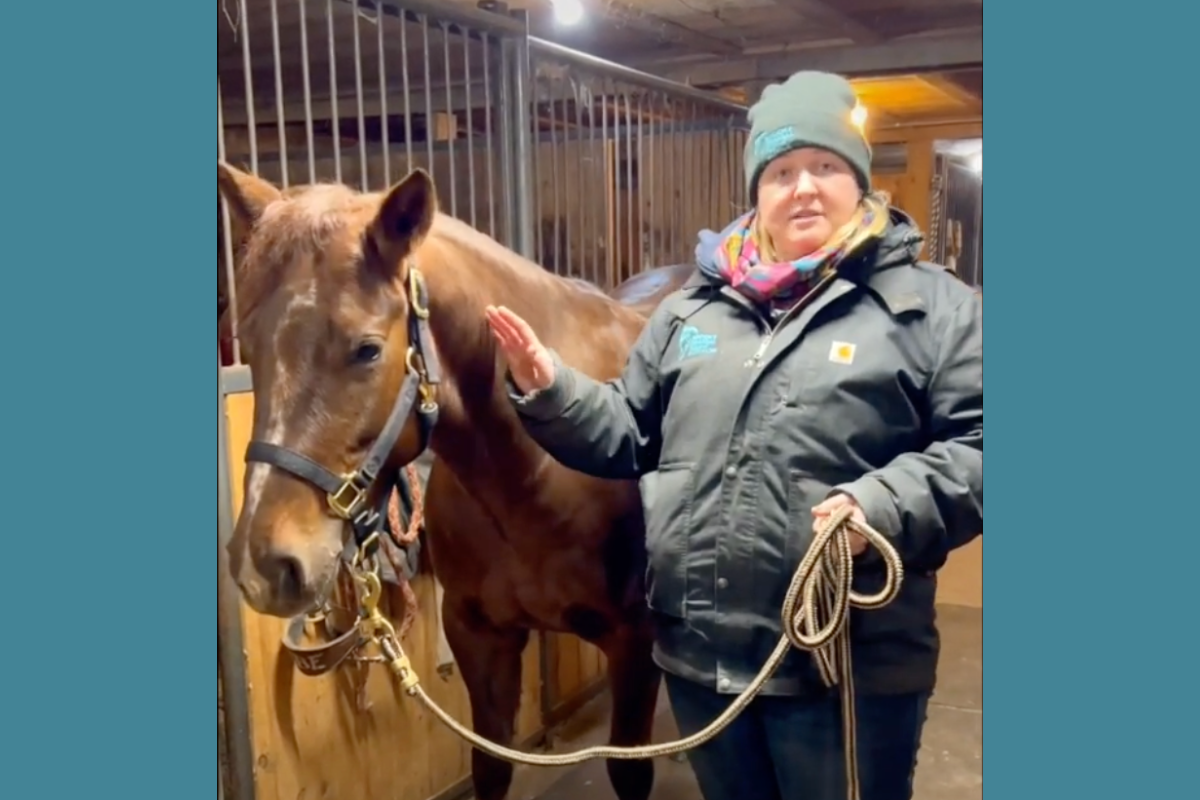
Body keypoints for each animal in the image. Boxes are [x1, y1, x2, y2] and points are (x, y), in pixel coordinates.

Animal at [218, 162, 694, 800]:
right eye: (247, 343)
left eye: (367, 350)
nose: (263, 565)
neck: (535, 472)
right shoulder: (478, 636)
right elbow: (490, 766)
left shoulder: (635, 644)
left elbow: (630, 769)